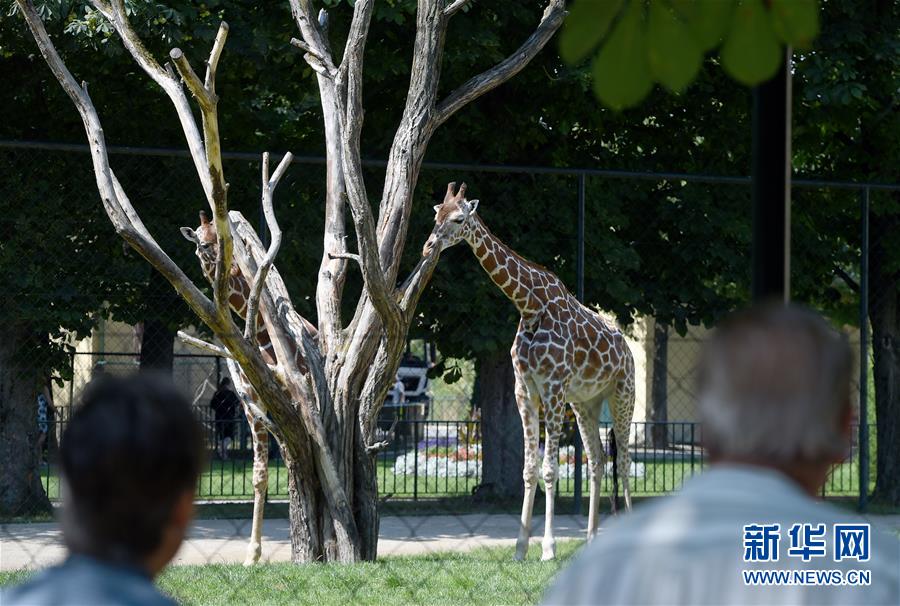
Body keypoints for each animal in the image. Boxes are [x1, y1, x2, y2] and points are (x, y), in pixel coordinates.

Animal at [180, 211, 274, 566]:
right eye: (202, 242)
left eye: (225, 240)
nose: (226, 268)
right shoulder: (254, 411)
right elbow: (260, 476)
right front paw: (252, 555)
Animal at [423, 184, 636, 561]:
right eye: (437, 216)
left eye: (459, 219)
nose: (428, 246)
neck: (530, 305)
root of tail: (627, 348)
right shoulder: (525, 389)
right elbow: (529, 469)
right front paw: (520, 548)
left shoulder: (552, 387)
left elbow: (550, 470)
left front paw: (548, 548)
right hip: (586, 403)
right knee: (597, 459)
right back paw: (591, 539)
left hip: (623, 393)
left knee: (622, 461)